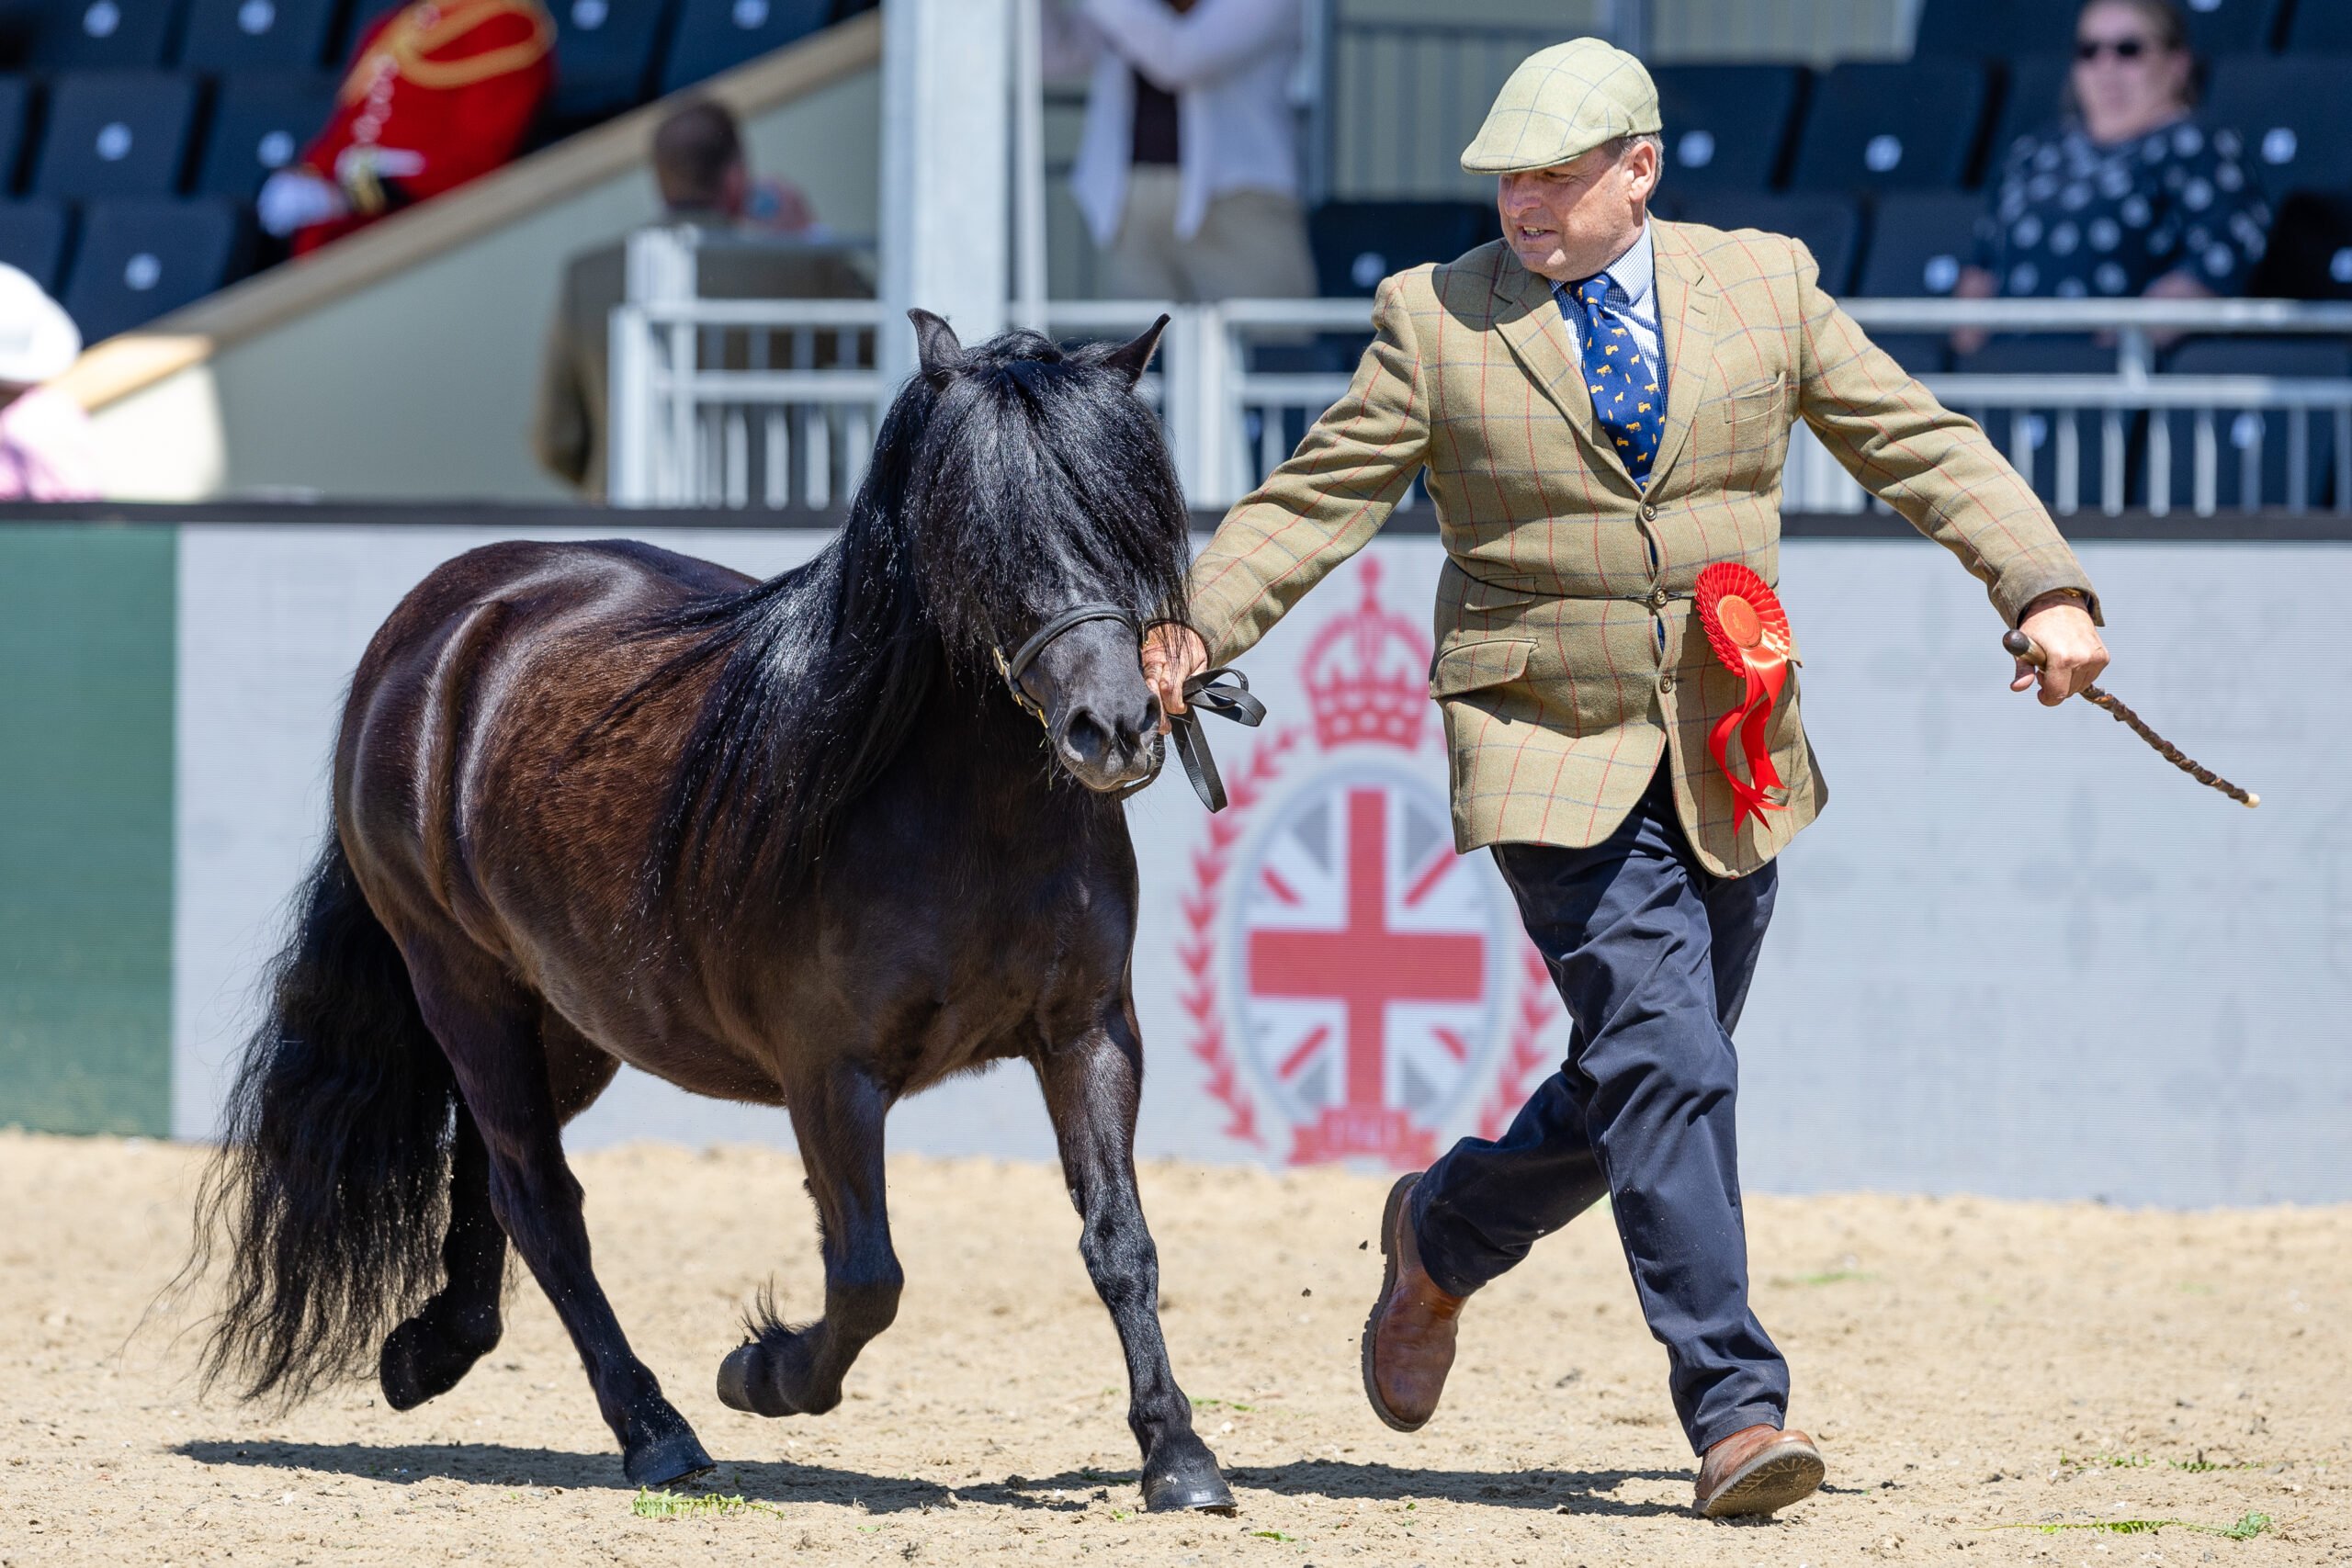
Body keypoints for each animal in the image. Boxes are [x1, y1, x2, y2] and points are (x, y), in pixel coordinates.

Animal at [192, 309, 1236, 1513]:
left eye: (1129, 516)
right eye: (982, 529)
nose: (1112, 729)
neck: (967, 820)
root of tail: (444, 616)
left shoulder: (1087, 1036)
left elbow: (1120, 1242)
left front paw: (1177, 1454)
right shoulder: (830, 1073)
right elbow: (867, 1274)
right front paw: (762, 1371)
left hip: (568, 1018)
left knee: (489, 1173)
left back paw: (433, 1351)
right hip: (461, 982)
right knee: (542, 1199)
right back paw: (655, 1429)